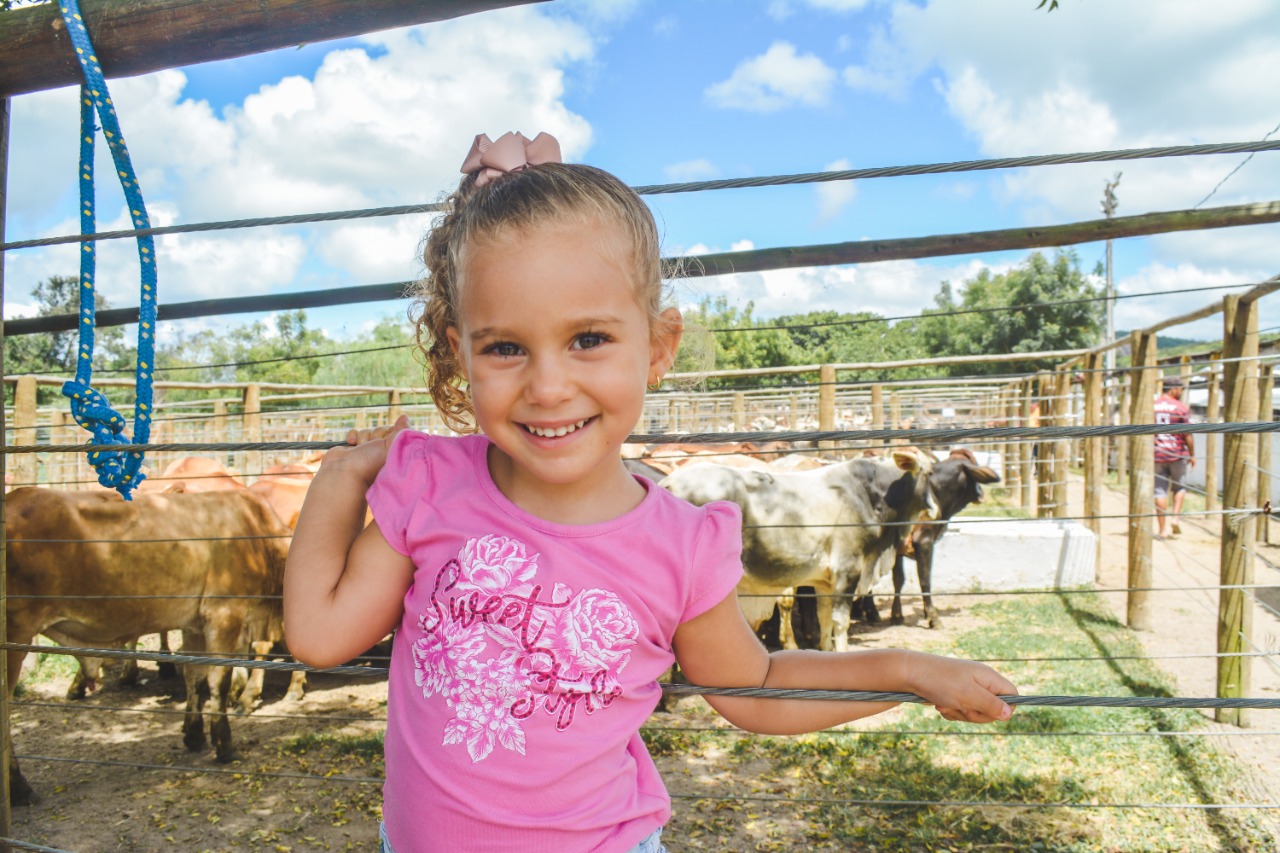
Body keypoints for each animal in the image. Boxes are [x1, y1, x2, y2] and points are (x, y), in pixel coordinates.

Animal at [5, 484, 290, 804]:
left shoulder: (195, 624)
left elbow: (195, 679)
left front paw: (194, 735)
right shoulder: (224, 615)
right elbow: (219, 681)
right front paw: (225, 746)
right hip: (15, 636)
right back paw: (19, 787)